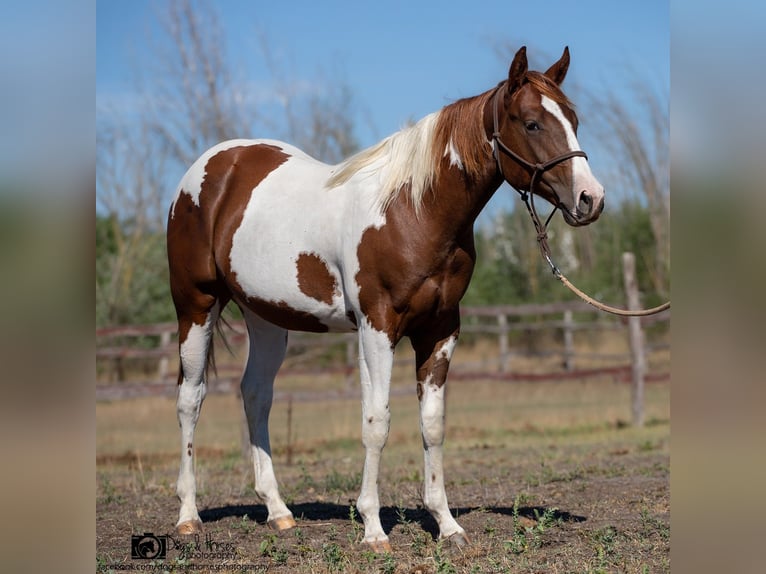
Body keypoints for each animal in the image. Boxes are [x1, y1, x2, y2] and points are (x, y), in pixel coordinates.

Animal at [166, 46, 605, 551]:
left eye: (574, 119)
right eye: (532, 123)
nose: (591, 199)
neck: (413, 210)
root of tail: (210, 168)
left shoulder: (439, 330)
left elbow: (432, 424)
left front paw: (446, 524)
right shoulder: (377, 328)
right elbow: (376, 422)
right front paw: (373, 529)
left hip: (267, 318)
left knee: (256, 394)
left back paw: (278, 512)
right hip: (195, 306)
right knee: (190, 399)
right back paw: (188, 516)